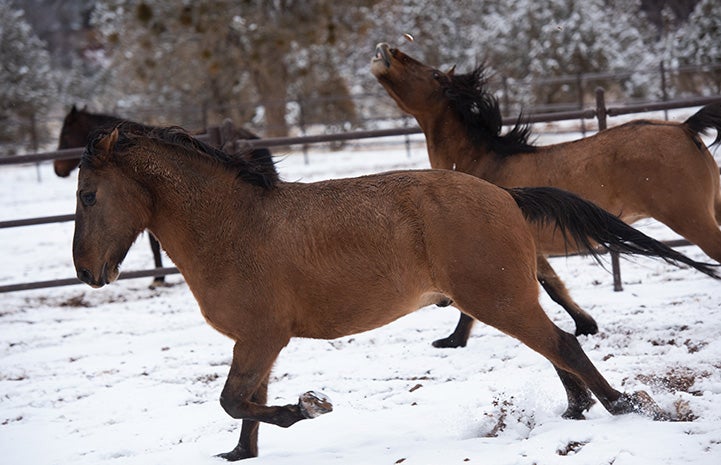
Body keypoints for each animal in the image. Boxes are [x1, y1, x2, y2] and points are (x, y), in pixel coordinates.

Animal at [73, 122, 720, 456]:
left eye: (87, 195)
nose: (86, 272)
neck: (236, 228)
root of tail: (505, 196)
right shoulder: (258, 343)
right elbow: (246, 406)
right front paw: (239, 454)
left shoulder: (260, 337)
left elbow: (237, 401)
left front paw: (309, 407)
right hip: (501, 298)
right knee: (557, 343)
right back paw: (578, 407)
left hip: (496, 298)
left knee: (563, 343)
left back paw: (620, 406)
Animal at [372, 42, 720, 348]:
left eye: (434, 75)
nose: (388, 50)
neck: (484, 163)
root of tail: (685, 128)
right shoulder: (532, 252)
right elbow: (555, 287)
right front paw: (586, 326)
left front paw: (452, 341)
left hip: (692, 219)